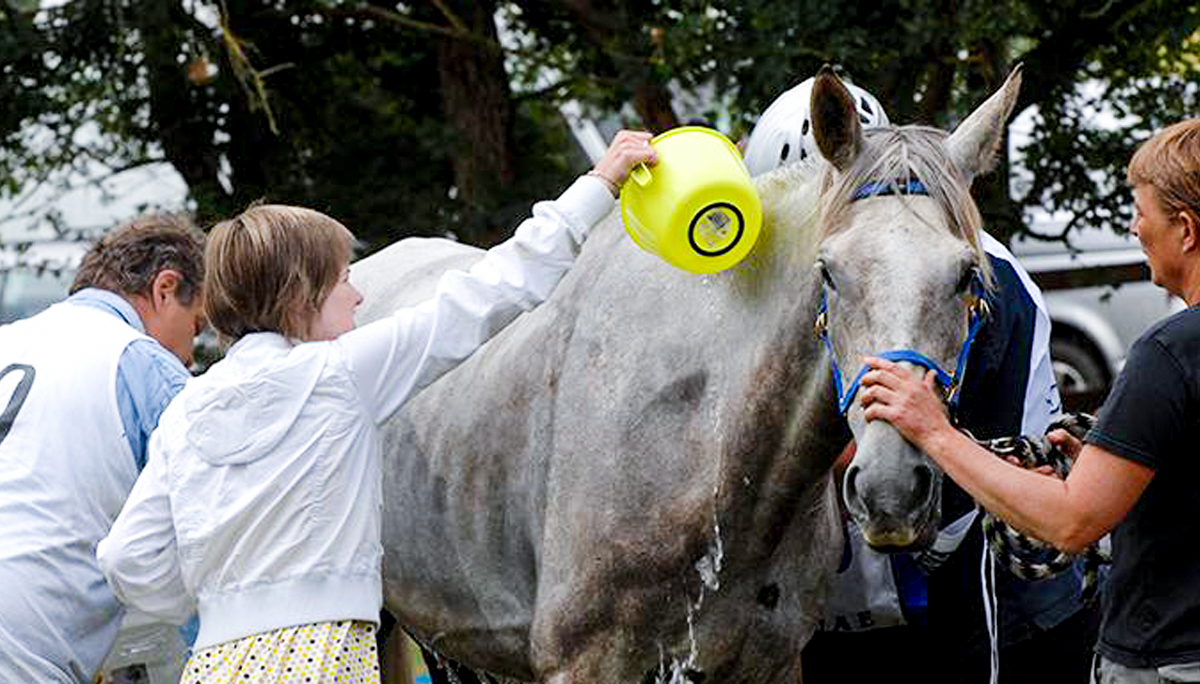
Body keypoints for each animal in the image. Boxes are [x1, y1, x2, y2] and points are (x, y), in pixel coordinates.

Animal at [350, 65, 1022, 684]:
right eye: (828, 271)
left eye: (966, 274)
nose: (891, 489)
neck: (709, 442)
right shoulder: (586, 663)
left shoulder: (770, 665)